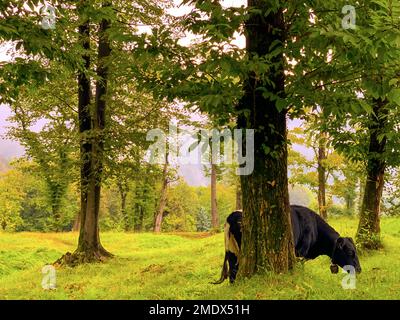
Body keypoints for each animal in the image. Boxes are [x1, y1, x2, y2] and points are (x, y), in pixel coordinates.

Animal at [214, 205, 360, 282]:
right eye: (350, 252)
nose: (359, 269)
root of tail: (232, 215)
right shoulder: (300, 251)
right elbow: (300, 266)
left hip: (232, 252)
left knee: (233, 273)